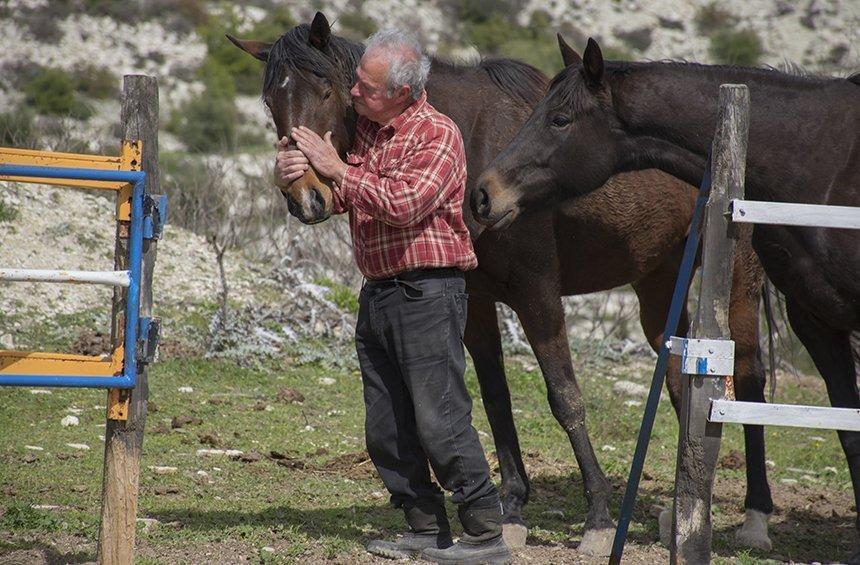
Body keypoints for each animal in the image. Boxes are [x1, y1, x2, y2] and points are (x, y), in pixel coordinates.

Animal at [228, 15, 772, 552]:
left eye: (325, 90)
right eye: (270, 100)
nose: (306, 197)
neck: (473, 141)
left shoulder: (538, 294)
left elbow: (564, 396)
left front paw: (597, 518)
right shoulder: (474, 299)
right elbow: (494, 399)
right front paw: (511, 509)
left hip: (737, 286)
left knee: (749, 378)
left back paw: (755, 517)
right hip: (657, 285)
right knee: (681, 379)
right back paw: (682, 509)